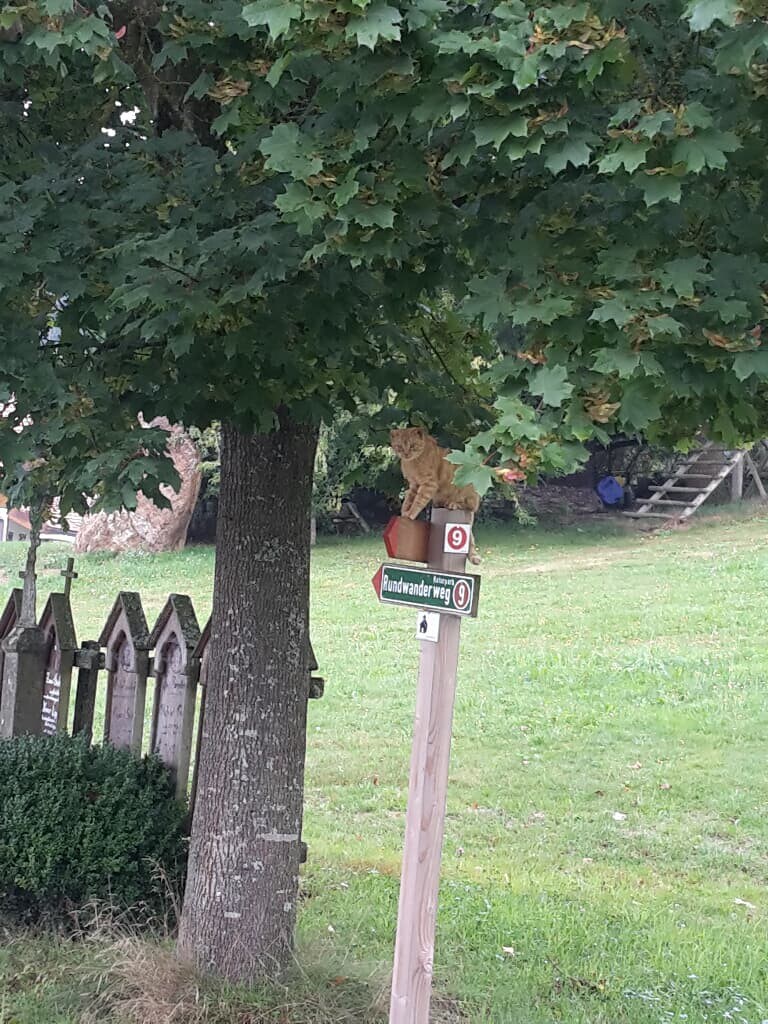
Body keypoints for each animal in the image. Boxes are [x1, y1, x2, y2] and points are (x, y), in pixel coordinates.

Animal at [391, 425, 481, 569]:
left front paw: (410, 515)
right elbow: (408, 500)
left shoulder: (428, 485)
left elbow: (417, 502)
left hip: (467, 491)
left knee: (468, 506)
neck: (412, 463)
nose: (406, 454)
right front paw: (404, 512)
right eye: (399, 446)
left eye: (412, 446)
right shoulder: (414, 485)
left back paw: (452, 504)